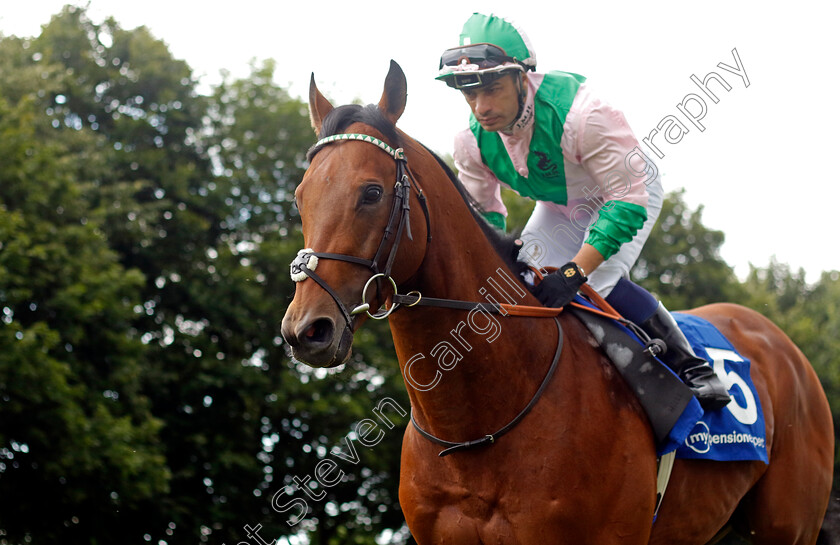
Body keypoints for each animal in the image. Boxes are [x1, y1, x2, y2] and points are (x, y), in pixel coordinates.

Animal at [280, 61, 832, 540]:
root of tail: (782, 345)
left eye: (372, 193)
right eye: (299, 196)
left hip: (788, 526)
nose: (306, 330)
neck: (475, 430)